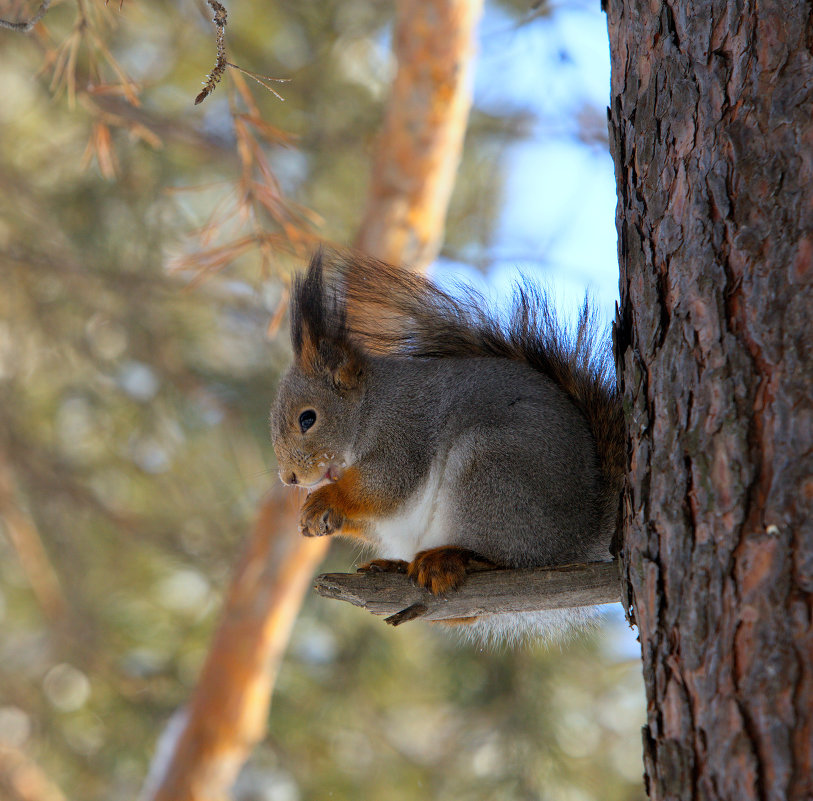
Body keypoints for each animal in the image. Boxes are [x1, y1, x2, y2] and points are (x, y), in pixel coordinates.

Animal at [270, 250, 624, 644]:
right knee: (468, 612)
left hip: (491, 473)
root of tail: (578, 539)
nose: (290, 478)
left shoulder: (403, 435)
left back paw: (455, 559)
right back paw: (396, 566)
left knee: (510, 562)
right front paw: (319, 517)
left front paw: (324, 500)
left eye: (307, 419)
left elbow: (384, 486)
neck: (369, 407)